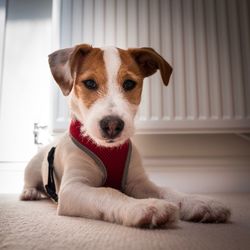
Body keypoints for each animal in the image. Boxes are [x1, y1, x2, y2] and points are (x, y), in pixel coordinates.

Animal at [20, 44, 230, 228]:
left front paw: (200, 203)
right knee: (29, 181)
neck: (109, 150)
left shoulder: (139, 183)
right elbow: (108, 192)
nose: (112, 125)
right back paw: (29, 192)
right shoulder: (72, 188)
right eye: (89, 83)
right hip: (32, 167)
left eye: (129, 83)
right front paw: (145, 206)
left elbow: (167, 191)